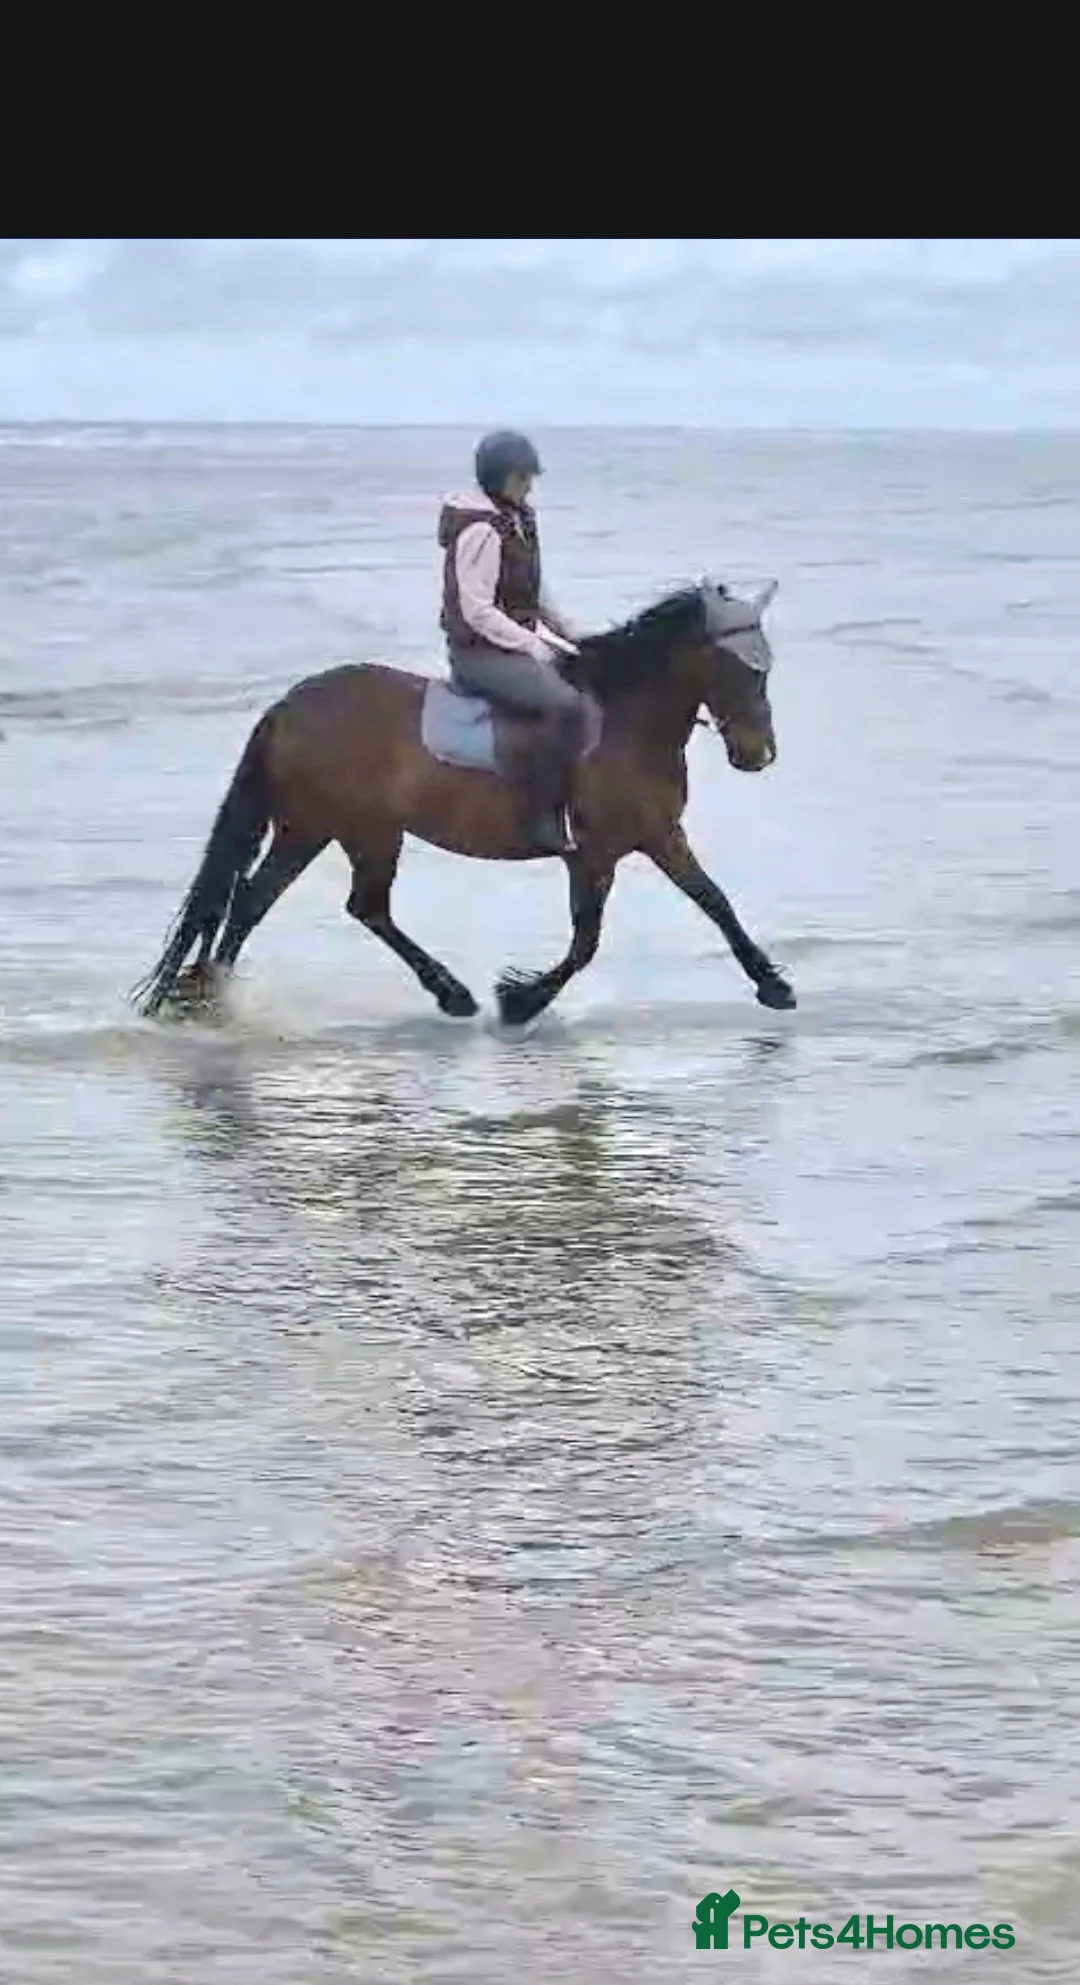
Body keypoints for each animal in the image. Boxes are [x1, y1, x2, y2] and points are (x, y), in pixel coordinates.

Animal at [132, 576, 796, 1029]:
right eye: (743, 669)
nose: (758, 754)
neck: (625, 722)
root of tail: (288, 707)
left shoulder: (659, 835)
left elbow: (713, 901)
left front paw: (773, 986)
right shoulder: (595, 854)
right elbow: (586, 941)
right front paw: (521, 1001)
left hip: (318, 828)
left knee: (266, 902)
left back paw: (209, 998)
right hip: (354, 828)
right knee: (345, 905)